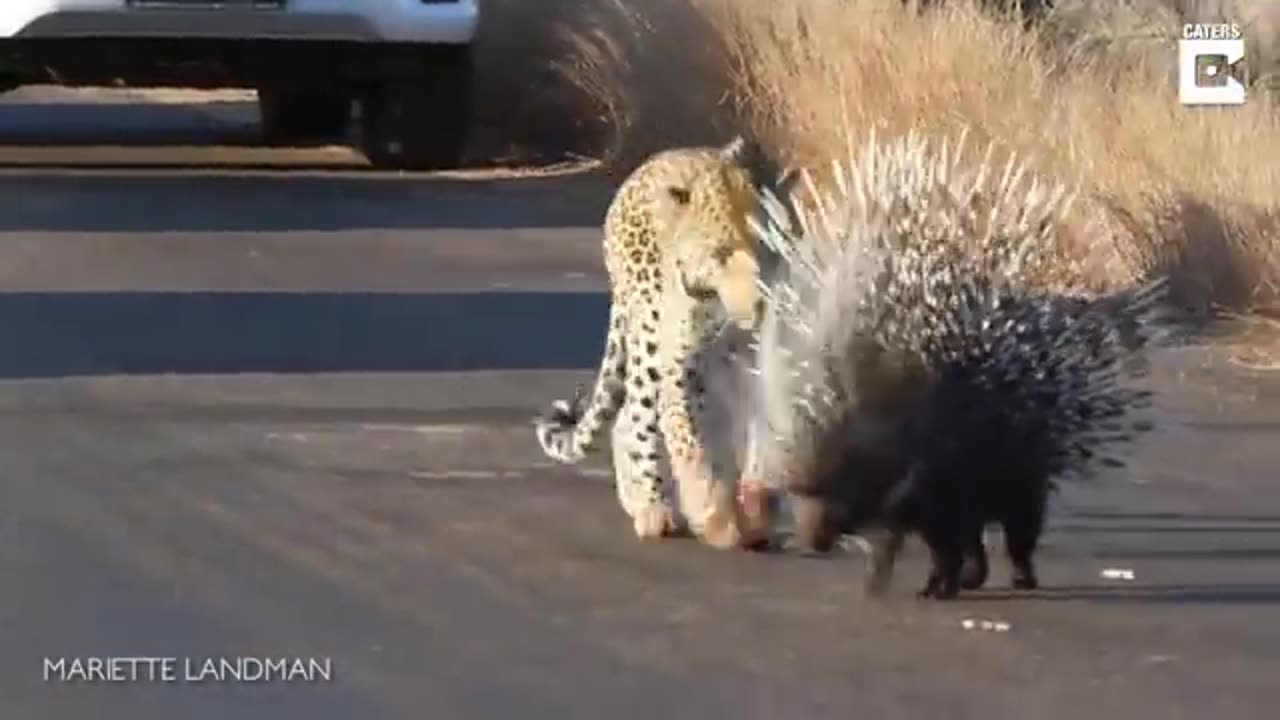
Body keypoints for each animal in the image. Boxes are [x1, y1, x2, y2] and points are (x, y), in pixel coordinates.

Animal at [527, 135, 788, 548]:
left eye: (762, 244)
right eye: (719, 253)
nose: (757, 306)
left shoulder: (759, 366)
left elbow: (761, 436)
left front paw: (755, 508)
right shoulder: (683, 371)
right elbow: (691, 444)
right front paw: (714, 516)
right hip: (648, 340)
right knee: (631, 420)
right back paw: (651, 509)